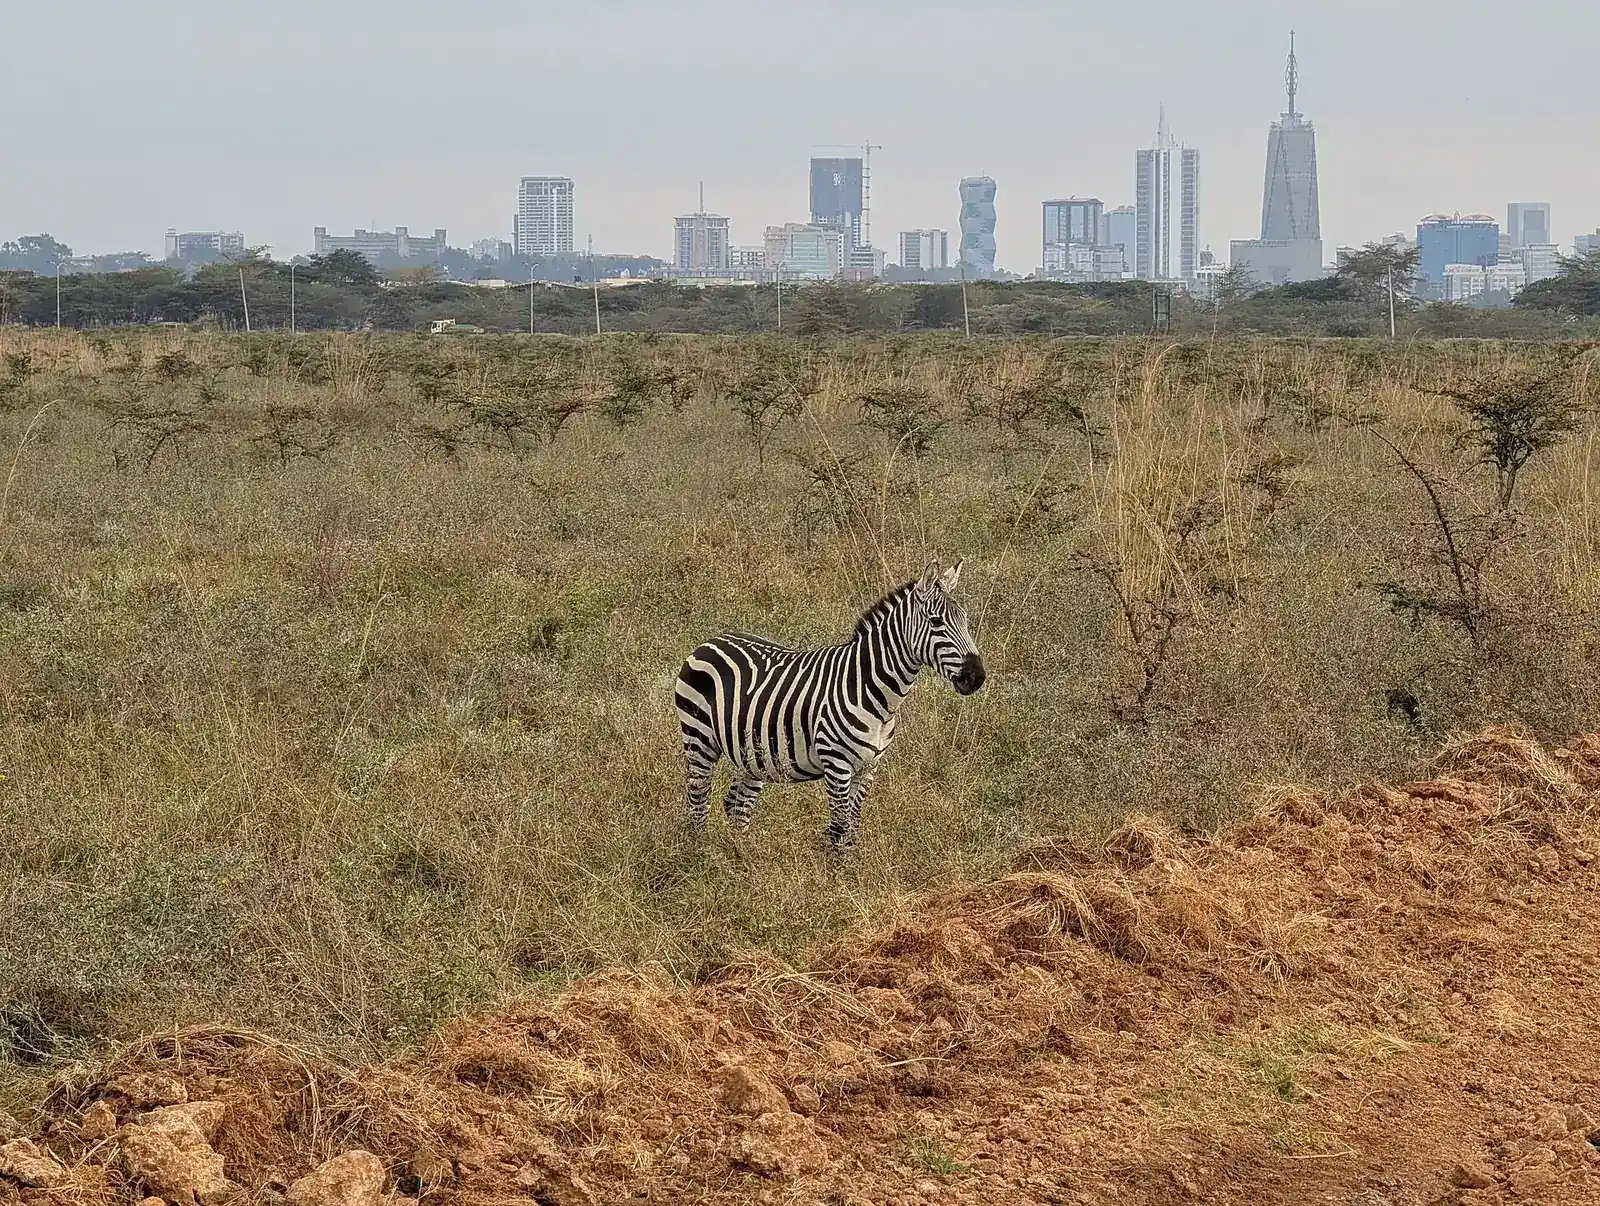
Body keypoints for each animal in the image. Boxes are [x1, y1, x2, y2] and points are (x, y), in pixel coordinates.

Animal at [674, 560, 986, 851]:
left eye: (965, 620)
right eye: (936, 622)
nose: (977, 677)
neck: (871, 690)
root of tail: (710, 641)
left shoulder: (868, 767)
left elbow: (853, 824)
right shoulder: (837, 764)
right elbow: (840, 826)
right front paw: (837, 872)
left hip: (751, 753)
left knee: (737, 806)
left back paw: (742, 856)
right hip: (699, 739)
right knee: (698, 800)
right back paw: (702, 855)